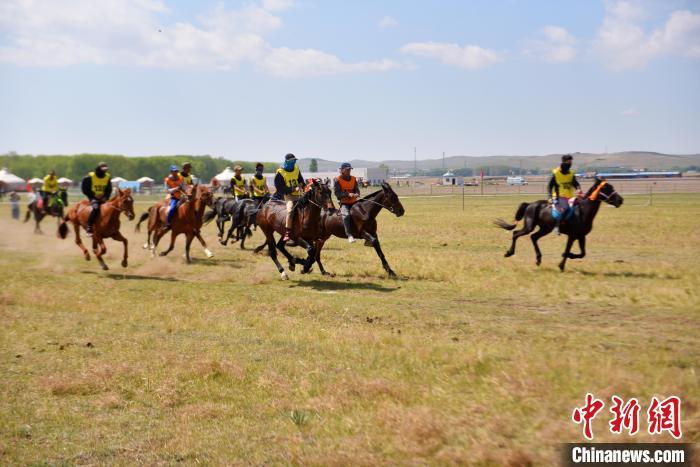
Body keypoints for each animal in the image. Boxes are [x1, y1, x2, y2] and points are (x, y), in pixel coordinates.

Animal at [492, 179, 624, 274]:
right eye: (606, 188)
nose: (620, 200)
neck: (582, 211)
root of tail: (530, 204)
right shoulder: (572, 236)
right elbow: (567, 250)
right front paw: (561, 264)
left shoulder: (581, 236)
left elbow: (582, 253)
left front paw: (566, 258)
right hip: (529, 226)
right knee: (516, 234)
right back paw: (509, 253)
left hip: (545, 229)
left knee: (533, 237)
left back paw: (538, 259)